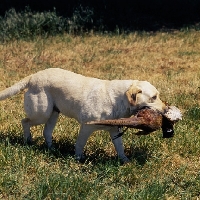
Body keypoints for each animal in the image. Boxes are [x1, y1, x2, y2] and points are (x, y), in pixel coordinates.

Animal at [0, 67, 166, 162]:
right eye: (153, 97)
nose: (166, 110)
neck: (117, 99)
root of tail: (33, 76)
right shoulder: (86, 127)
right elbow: (80, 144)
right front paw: (78, 159)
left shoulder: (114, 131)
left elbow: (120, 147)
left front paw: (125, 161)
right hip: (41, 113)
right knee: (25, 121)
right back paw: (28, 141)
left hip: (54, 114)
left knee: (46, 132)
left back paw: (52, 149)